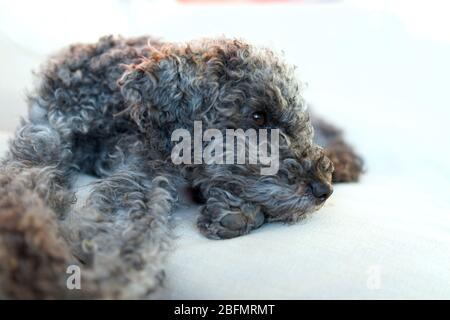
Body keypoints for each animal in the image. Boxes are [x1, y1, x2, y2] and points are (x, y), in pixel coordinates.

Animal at [0, 36, 362, 298]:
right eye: (258, 116)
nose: (323, 189)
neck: (115, 108)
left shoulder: (145, 171)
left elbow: (130, 228)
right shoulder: (43, 140)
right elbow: (21, 204)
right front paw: (32, 268)